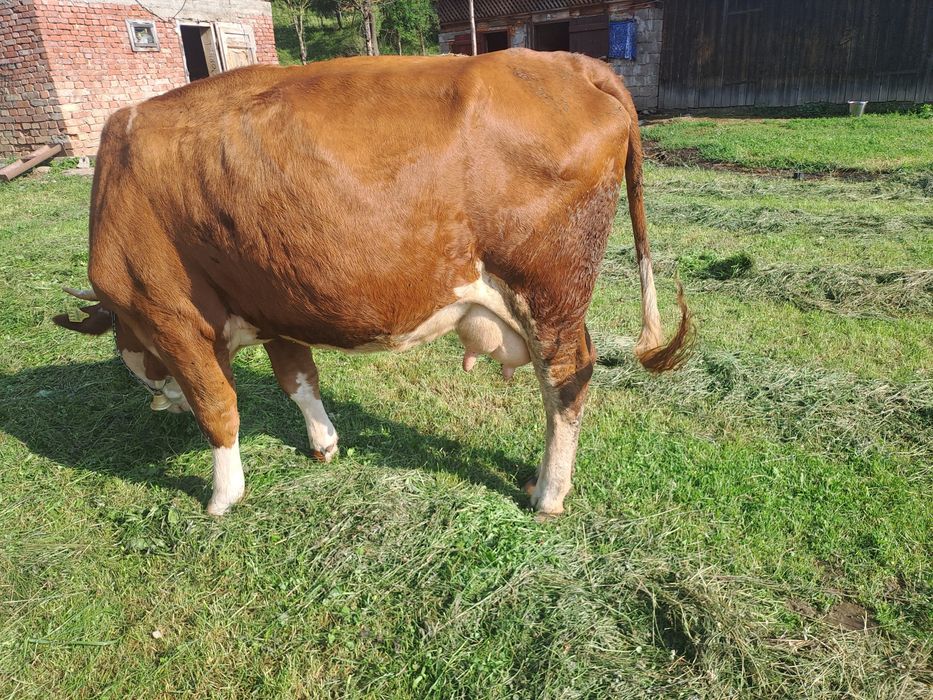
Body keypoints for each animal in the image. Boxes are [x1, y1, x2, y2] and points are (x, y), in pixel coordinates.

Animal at [54, 48, 692, 517]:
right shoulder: (275, 301)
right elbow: (299, 381)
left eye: (128, 340)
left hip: (550, 294)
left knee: (566, 382)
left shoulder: (172, 315)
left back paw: (549, 493)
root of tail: (568, 62)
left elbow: (218, 408)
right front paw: (324, 443)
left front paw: (222, 496)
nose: (158, 402)